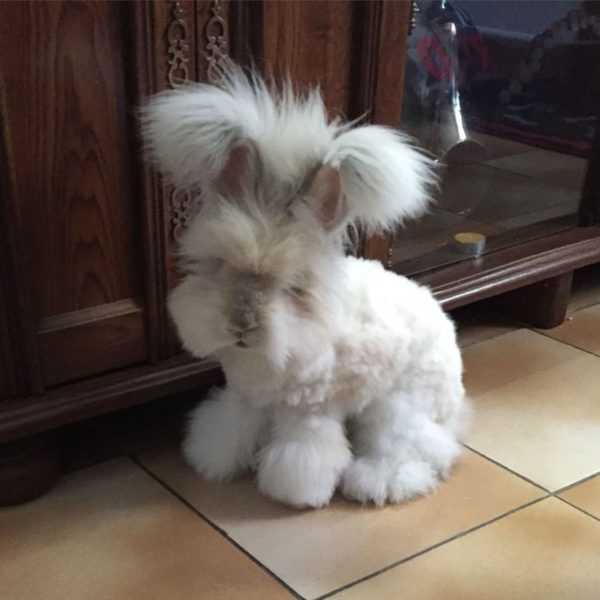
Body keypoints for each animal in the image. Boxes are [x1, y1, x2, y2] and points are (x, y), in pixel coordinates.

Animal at [142, 67, 468, 506]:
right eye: (219, 265)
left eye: (294, 287)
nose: (241, 325)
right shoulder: (246, 398)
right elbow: (229, 427)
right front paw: (211, 461)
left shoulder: (309, 413)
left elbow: (302, 454)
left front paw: (293, 493)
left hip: (398, 405)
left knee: (416, 447)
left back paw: (377, 482)